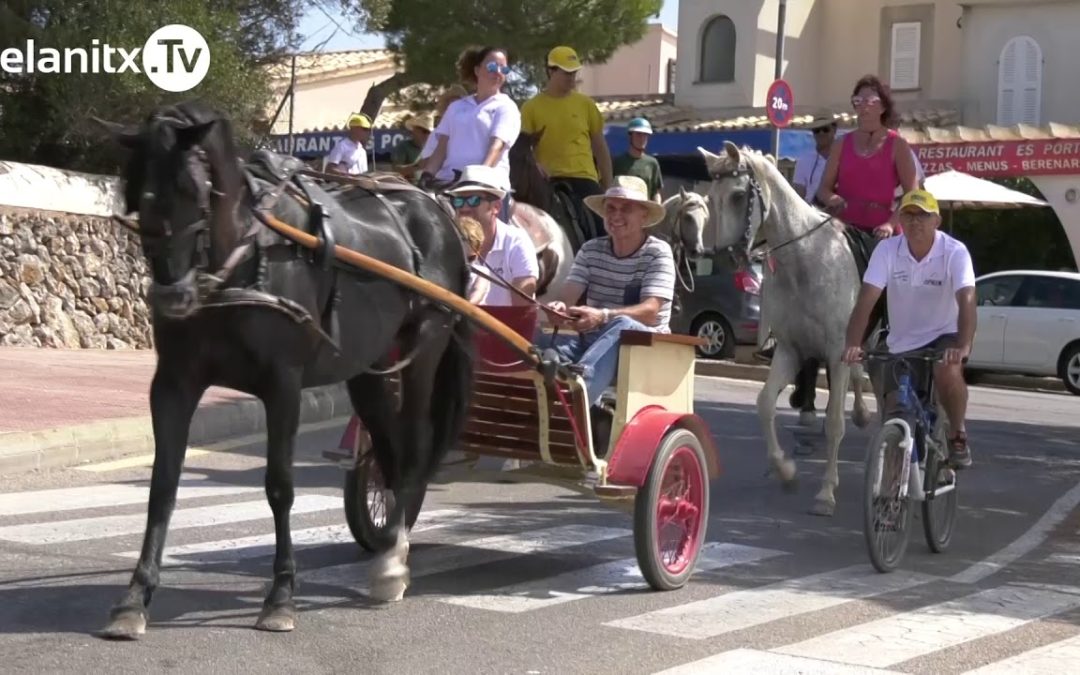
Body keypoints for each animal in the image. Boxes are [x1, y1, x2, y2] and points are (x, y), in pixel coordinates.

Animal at [96, 101, 473, 635]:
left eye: (195, 189)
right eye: (136, 195)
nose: (173, 297)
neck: (239, 264)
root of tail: (437, 209)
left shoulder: (283, 385)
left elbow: (279, 486)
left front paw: (281, 596)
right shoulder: (172, 383)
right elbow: (162, 487)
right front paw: (134, 598)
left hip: (426, 345)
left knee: (416, 443)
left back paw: (392, 565)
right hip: (369, 367)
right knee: (390, 450)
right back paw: (388, 542)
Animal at [695, 139, 872, 514]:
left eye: (737, 196)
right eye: (711, 198)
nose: (727, 256)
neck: (805, 262)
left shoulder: (836, 352)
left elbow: (835, 422)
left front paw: (826, 492)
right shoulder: (791, 350)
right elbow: (764, 404)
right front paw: (786, 471)